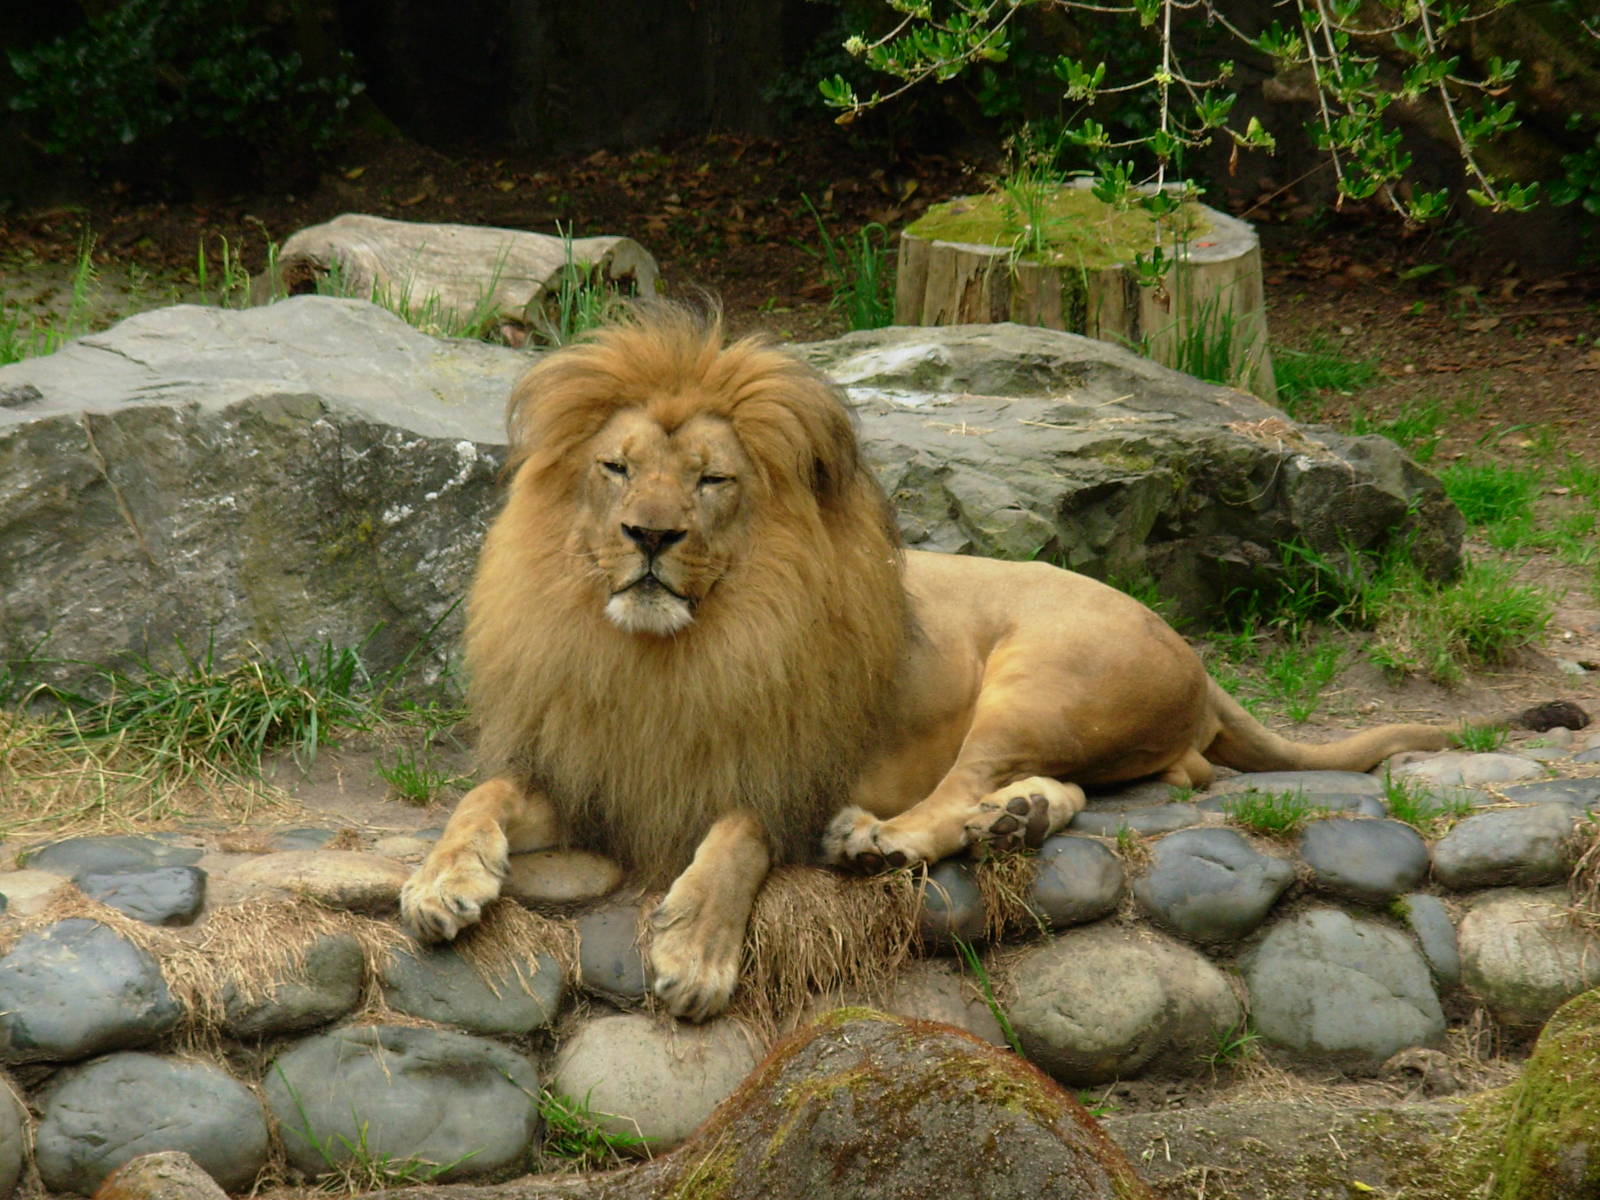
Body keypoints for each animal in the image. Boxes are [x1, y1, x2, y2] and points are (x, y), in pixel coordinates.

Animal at [399, 307, 1450, 1021]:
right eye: (616, 468)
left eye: (711, 480)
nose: (648, 536)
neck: (662, 657)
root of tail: (1187, 646)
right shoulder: (588, 774)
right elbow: (482, 796)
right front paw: (442, 882)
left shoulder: (782, 773)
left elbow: (737, 833)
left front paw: (695, 950)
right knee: (1075, 787)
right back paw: (1017, 818)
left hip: (1042, 674)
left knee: (961, 785)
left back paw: (885, 839)